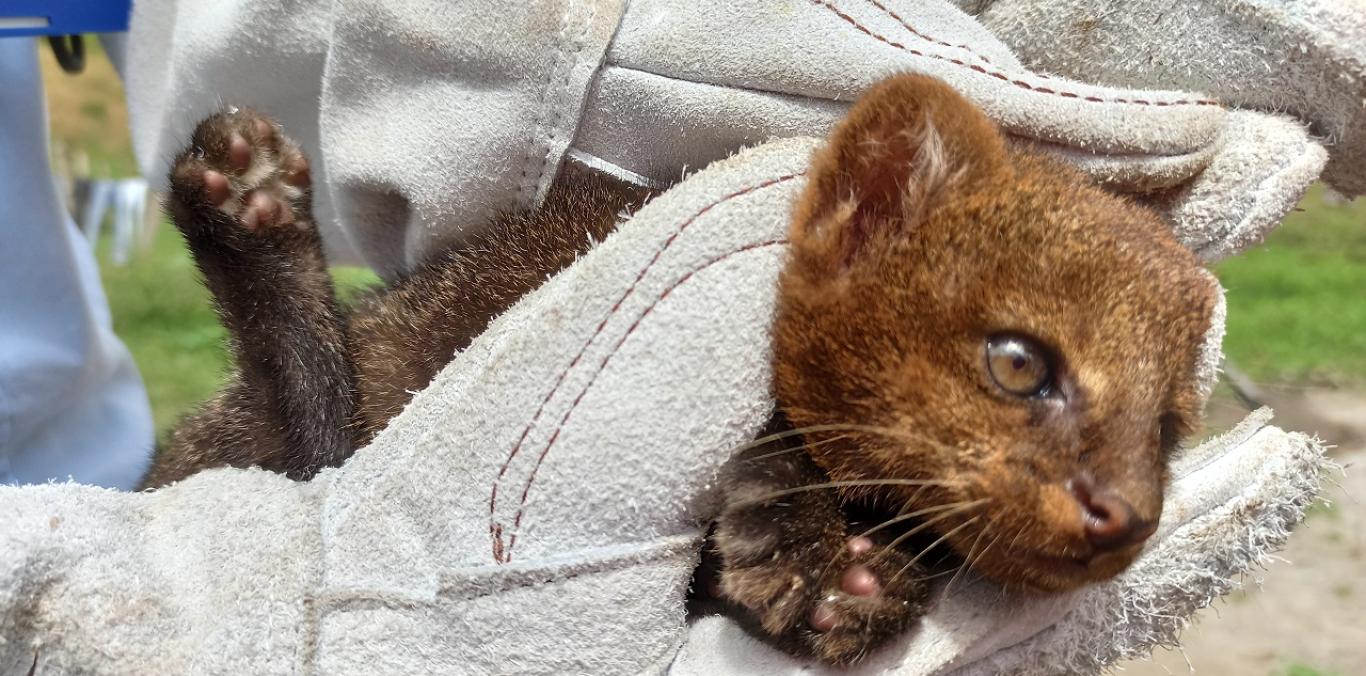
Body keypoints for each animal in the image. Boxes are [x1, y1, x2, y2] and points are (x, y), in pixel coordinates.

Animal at [146, 75, 1218, 666]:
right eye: (1019, 362)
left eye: (1168, 427)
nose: (1126, 514)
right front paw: (803, 542)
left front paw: (856, 573)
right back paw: (244, 198)